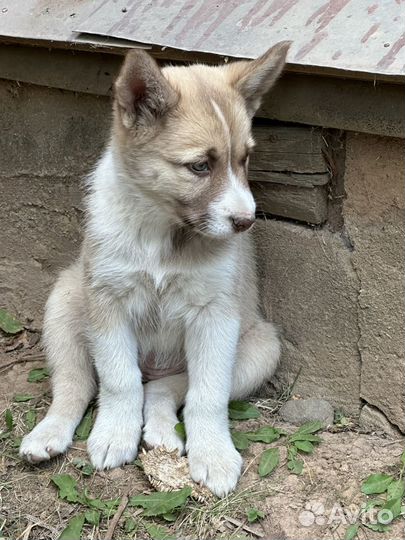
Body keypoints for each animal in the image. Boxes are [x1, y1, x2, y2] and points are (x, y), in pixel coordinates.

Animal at [20, 43, 288, 498]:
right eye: (199, 166)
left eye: (245, 159)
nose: (246, 222)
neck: (164, 233)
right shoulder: (107, 303)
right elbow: (118, 379)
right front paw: (115, 434)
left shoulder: (216, 316)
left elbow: (207, 396)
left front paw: (213, 454)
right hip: (65, 300)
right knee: (78, 384)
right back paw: (49, 433)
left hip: (261, 348)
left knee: (166, 389)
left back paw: (163, 432)